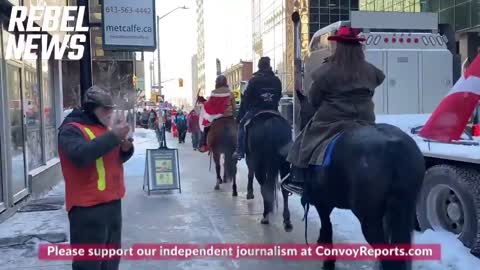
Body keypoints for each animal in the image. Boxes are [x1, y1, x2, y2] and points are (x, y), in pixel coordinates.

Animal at [294, 90, 426, 270]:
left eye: (301, 113)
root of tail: (395, 147)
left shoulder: (322, 202)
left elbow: (327, 228)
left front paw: (328, 262)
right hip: (403, 210)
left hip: (369, 219)